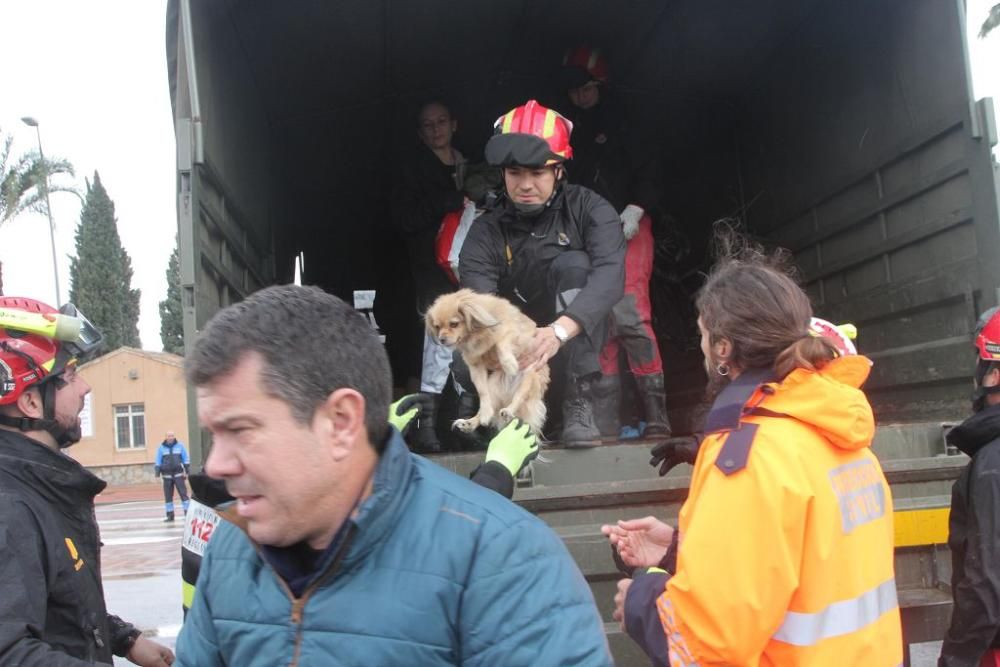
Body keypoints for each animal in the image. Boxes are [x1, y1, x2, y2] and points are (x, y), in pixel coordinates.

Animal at [426, 290, 552, 436]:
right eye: (437, 327)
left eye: (454, 324)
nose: (441, 339)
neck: (476, 334)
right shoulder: (475, 367)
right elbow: (482, 392)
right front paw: (485, 414)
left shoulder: (513, 332)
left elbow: (500, 343)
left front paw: (509, 364)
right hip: (493, 385)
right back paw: (469, 423)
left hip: (529, 376)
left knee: (519, 397)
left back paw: (509, 410)